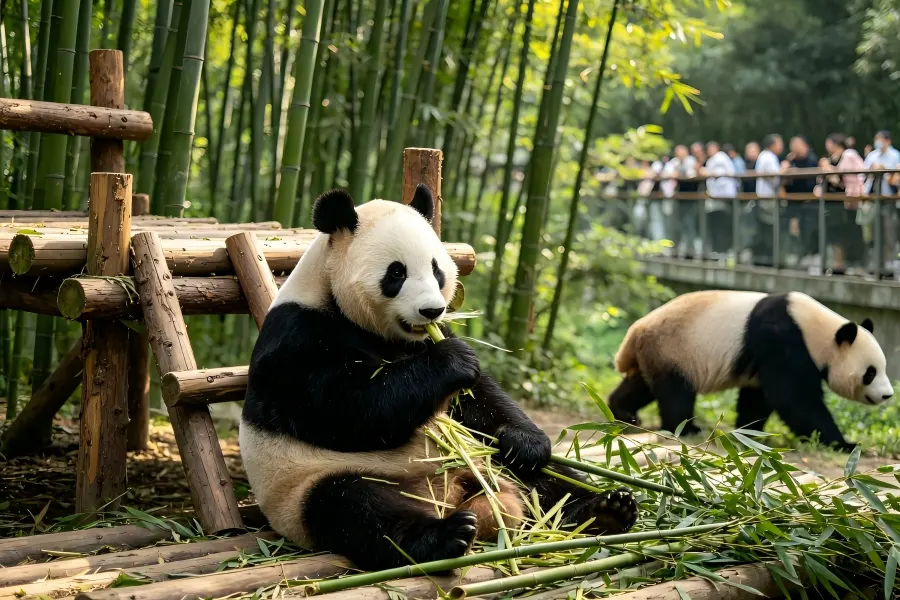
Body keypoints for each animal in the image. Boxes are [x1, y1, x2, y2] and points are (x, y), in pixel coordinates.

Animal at [239, 185, 638, 572]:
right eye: (396, 273)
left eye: (437, 270)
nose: (431, 309)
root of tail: (449, 493)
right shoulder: (298, 339)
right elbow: (344, 411)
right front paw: (453, 360)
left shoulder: (433, 335)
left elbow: (480, 398)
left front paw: (525, 442)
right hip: (306, 487)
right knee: (355, 507)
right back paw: (446, 536)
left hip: (487, 461)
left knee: (549, 475)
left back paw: (604, 510)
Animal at [608, 290, 894, 451]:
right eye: (870, 372)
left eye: (884, 368)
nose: (887, 395)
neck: (818, 329)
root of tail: (634, 332)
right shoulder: (783, 338)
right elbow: (796, 399)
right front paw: (845, 444)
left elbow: (758, 398)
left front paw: (748, 431)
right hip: (674, 348)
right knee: (675, 393)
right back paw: (685, 428)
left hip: (656, 353)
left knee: (642, 385)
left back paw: (623, 413)